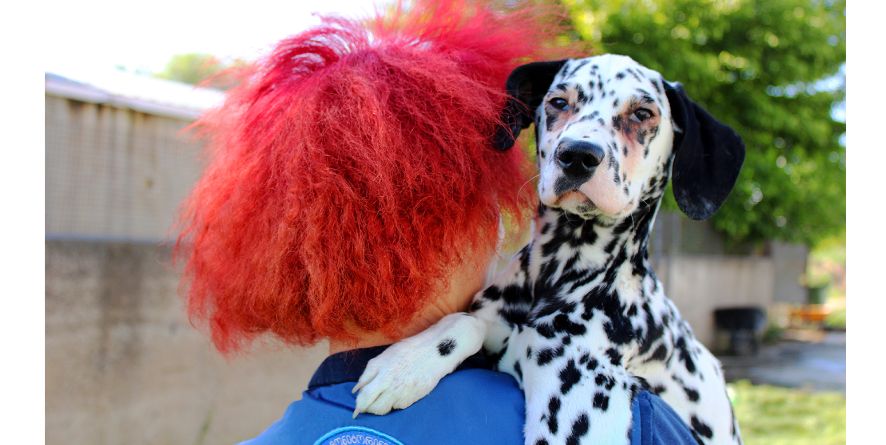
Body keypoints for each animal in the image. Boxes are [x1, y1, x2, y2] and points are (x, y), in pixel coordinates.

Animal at [350, 55, 744, 444]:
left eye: (642, 113)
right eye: (558, 102)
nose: (578, 155)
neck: (560, 270)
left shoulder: (578, 406)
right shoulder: (493, 319)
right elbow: (465, 320)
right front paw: (406, 364)